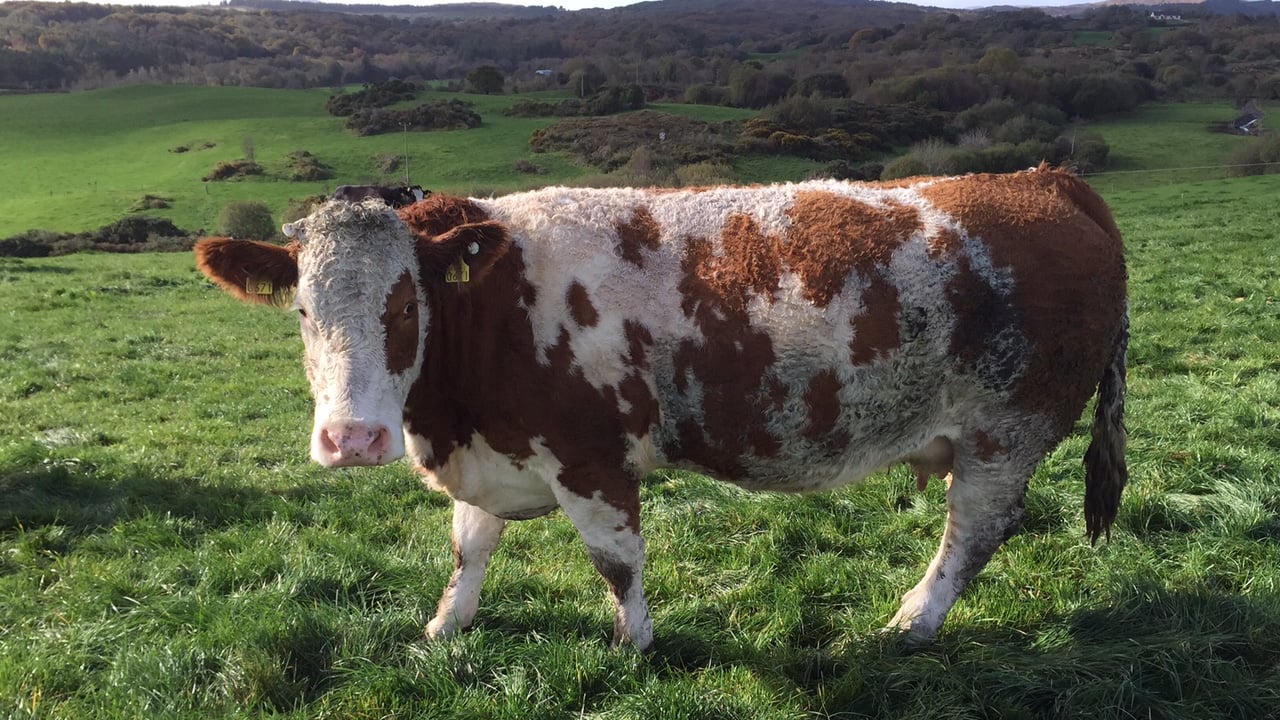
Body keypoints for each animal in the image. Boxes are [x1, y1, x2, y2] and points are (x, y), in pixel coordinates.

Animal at [194, 164, 1128, 650]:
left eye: (403, 307)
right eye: (303, 310)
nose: (351, 439)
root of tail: (1039, 179)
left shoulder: (591, 456)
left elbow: (616, 562)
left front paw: (634, 644)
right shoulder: (498, 451)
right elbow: (471, 546)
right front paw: (446, 624)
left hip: (1004, 434)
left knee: (972, 534)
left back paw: (913, 619)